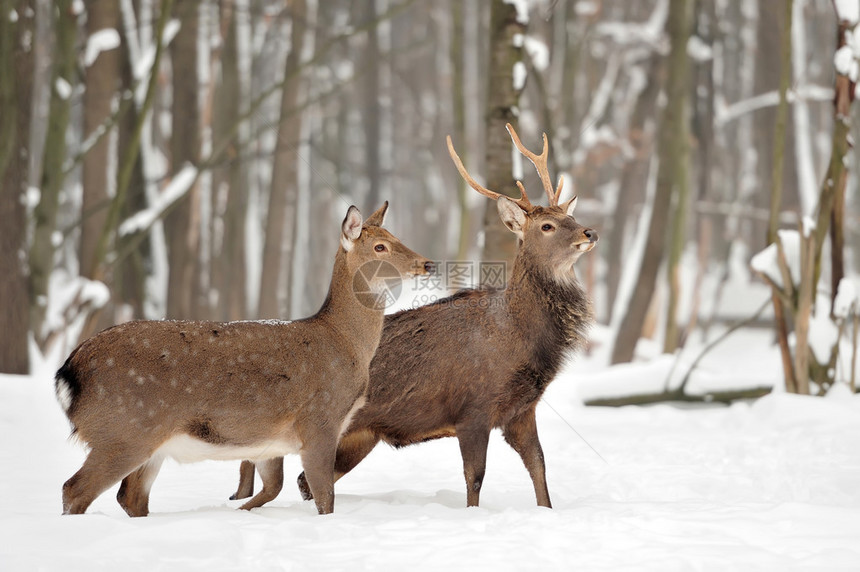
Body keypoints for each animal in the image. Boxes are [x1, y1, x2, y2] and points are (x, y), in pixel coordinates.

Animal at [54, 203, 434, 516]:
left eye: (395, 236)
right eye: (380, 246)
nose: (427, 263)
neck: (346, 345)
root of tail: (68, 372)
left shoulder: (270, 441)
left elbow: (274, 486)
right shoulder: (319, 421)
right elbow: (324, 498)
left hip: (146, 441)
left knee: (130, 497)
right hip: (123, 430)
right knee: (75, 489)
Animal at [232, 123, 600, 508]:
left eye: (570, 217)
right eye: (546, 226)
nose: (589, 232)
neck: (520, 339)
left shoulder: (522, 411)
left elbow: (539, 467)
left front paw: (547, 510)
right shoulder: (473, 409)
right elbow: (475, 477)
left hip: (359, 436)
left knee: (303, 480)